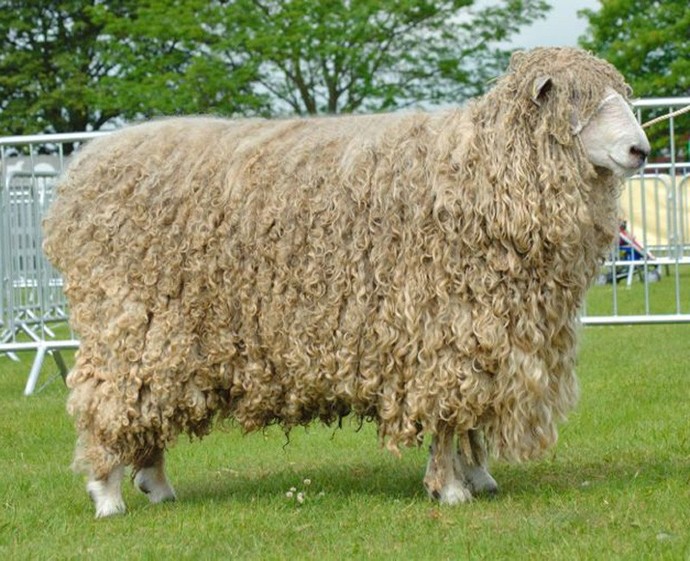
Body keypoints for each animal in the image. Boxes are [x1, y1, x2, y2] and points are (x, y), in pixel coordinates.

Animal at [42, 47, 650, 517]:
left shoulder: (487, 332)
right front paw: (451, 488)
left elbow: (470, 414)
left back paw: (156, 484)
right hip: (125, 320)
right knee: (107, 401)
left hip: (161, 340)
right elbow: (447, 416)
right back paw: (107, 495)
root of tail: (79, 174)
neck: (485, 172)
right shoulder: (442, 329)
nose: (640, 149)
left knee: (146, 405)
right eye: (580, 101)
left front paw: (478, 476)